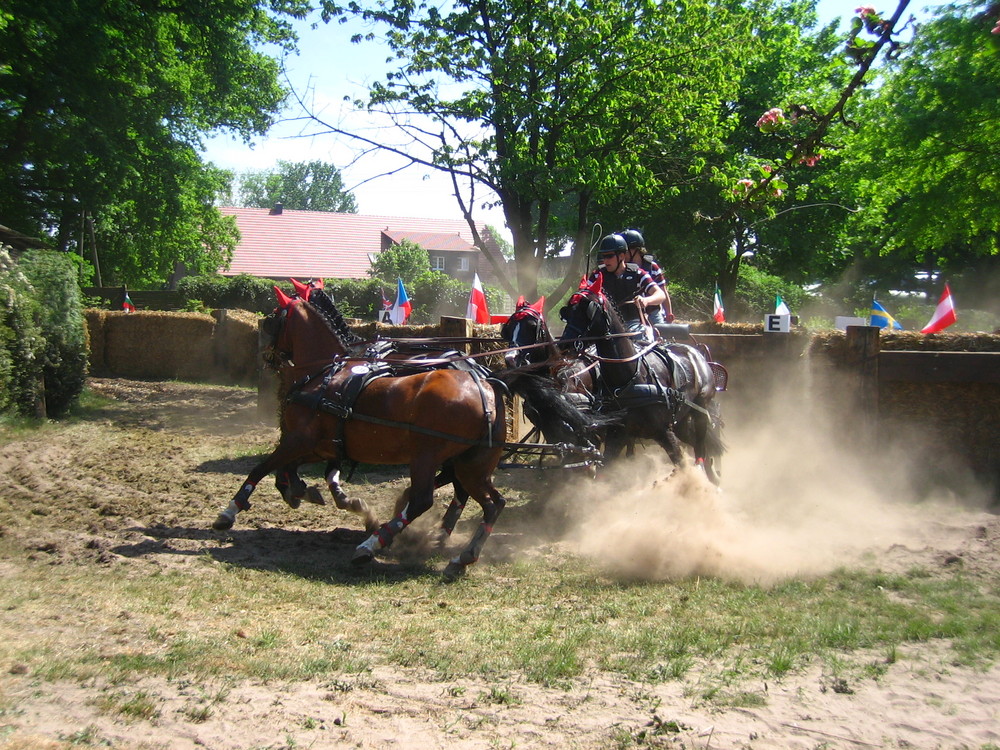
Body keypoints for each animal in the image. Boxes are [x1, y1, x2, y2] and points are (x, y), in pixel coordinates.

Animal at [214, 290, 504, 580]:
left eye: (273, 318)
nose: (267, 356)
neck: (325, 374)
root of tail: (483, 387)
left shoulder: (297, 440)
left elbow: (262, 468)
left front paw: (230, 512)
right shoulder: (319, 446)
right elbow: (295, 472)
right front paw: (305, 492)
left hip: (426, 457)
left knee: (423, 500)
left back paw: (373, 544)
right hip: (470, 465)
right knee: (491, 502)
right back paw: (460, 555)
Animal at [560, 274, 724, 482]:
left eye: (587, 310)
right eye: (567, 311)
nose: (564, 343)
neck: (628, 379)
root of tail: (696, 353)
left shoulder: (664, 432)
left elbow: (681, 464)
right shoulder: (617, 435)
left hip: (700, 411)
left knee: (701, 447)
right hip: (681, 420)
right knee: (695, 442)